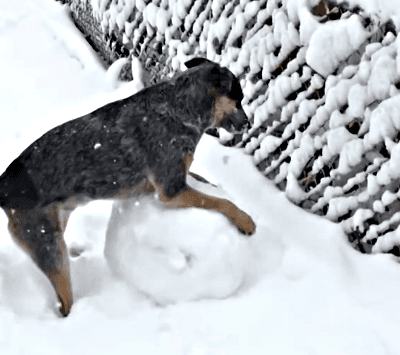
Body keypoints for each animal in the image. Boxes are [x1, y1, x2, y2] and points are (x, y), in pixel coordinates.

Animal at [0, 57, 256, 318]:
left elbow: (201, 179)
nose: (248, 124)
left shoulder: (173, 180)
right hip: (49, 249)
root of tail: (3, 186)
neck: (179, 107)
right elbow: (220, 202)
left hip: (57, 223)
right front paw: (245, 220)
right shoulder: (171, 191)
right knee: (64, 303)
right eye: (239, 98)